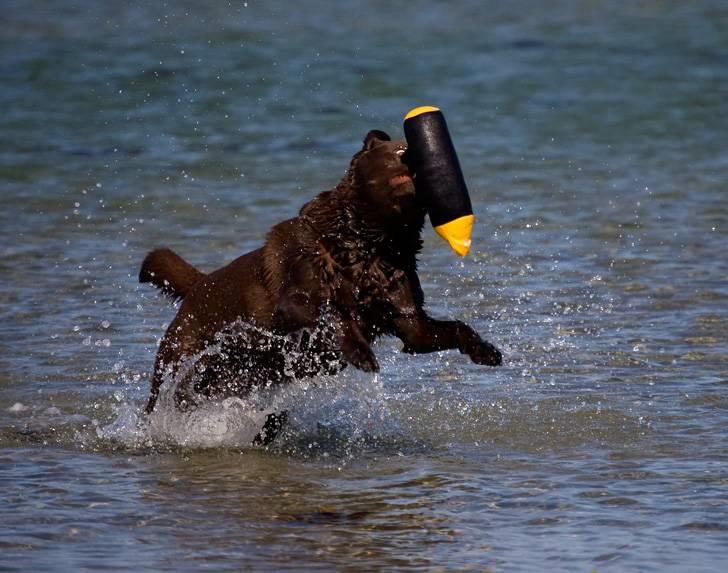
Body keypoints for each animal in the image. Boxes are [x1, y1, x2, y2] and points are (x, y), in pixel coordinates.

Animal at [139, 130, 500, 416]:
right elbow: (333, 311)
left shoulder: (402, 303)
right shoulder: (297, 291)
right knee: (162, 391)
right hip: (181, 350)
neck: (372, 243)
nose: (416, 157)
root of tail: (199, 284)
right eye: (399, 151)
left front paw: (486, 350)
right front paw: (361, 353)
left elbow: (442, 328)